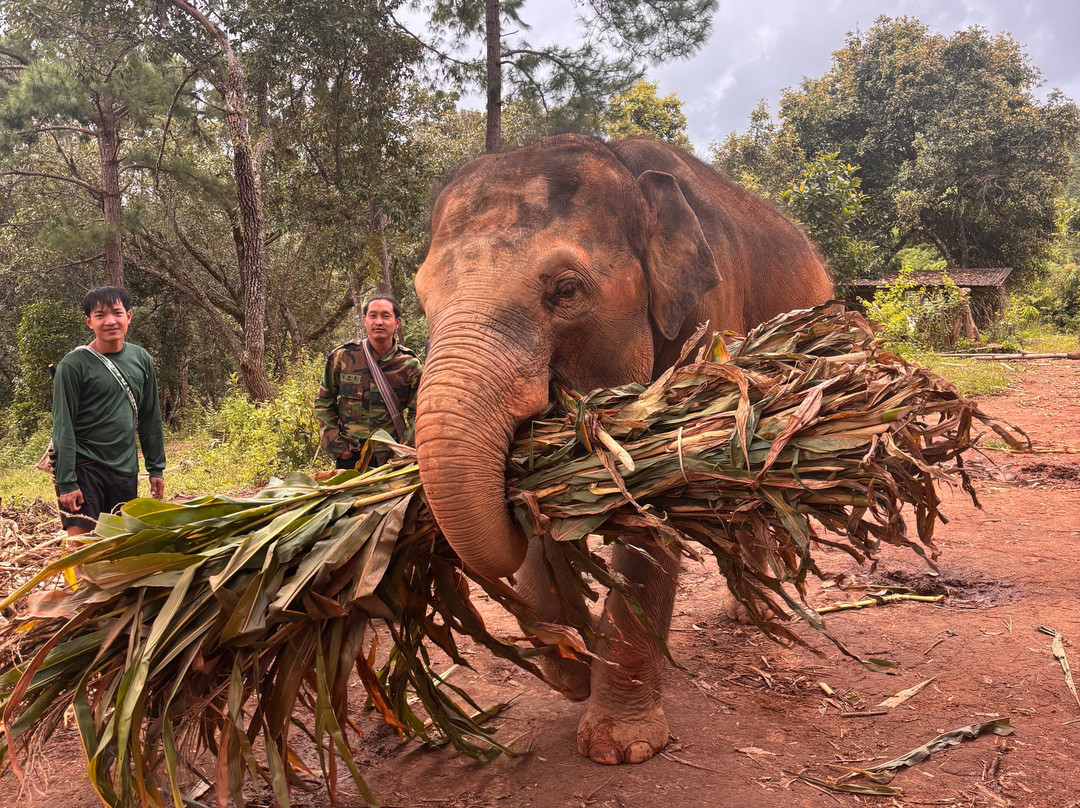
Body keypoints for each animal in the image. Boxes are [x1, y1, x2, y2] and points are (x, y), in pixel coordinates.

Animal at [413, 134, 833, 765]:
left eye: (566, 290)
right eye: (420, 298)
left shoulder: (709, 327)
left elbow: (655, 513)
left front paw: (621, 745)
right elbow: (541, 505)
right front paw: (573, 671)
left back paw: (764, 611)